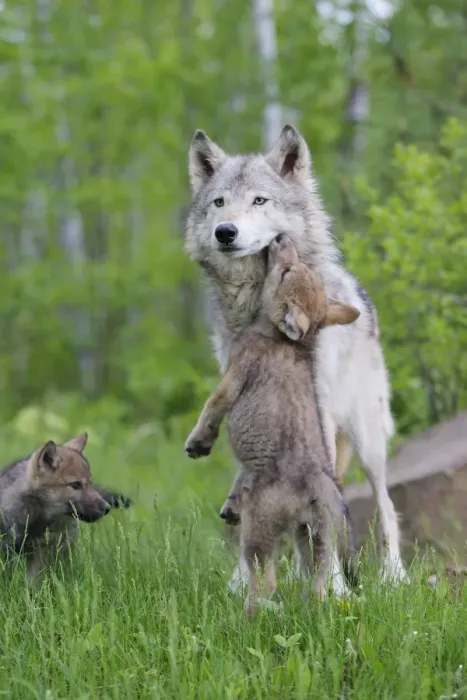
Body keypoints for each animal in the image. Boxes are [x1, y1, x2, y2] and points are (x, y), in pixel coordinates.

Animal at [185, 234, 360, 615]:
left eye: (286, 271)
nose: (281, 238)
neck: (292, 342)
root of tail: (315, 484)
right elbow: (239, 474)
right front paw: (230, 503)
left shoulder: (233, 377)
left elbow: (210, 410)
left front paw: (197, 443)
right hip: (316, 543)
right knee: (320, 588)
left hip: (260, 537)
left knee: (265, 584)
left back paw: (246, 614)